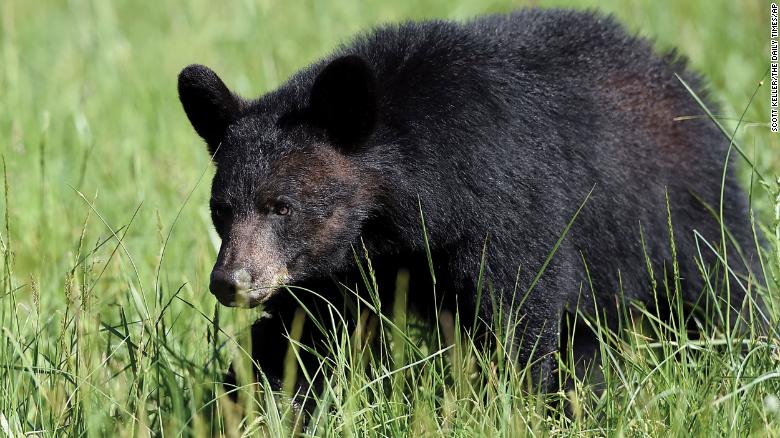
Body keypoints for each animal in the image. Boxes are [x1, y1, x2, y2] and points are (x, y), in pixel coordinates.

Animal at [180, 7, 760, 390]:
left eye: (283, 206)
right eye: (221, 209)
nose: (230, 281)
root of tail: (679, 72)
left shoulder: (509, 208)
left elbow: (521, 312)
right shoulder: (336, 267)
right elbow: (299, 336)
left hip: (684, 207)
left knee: (723, 289)